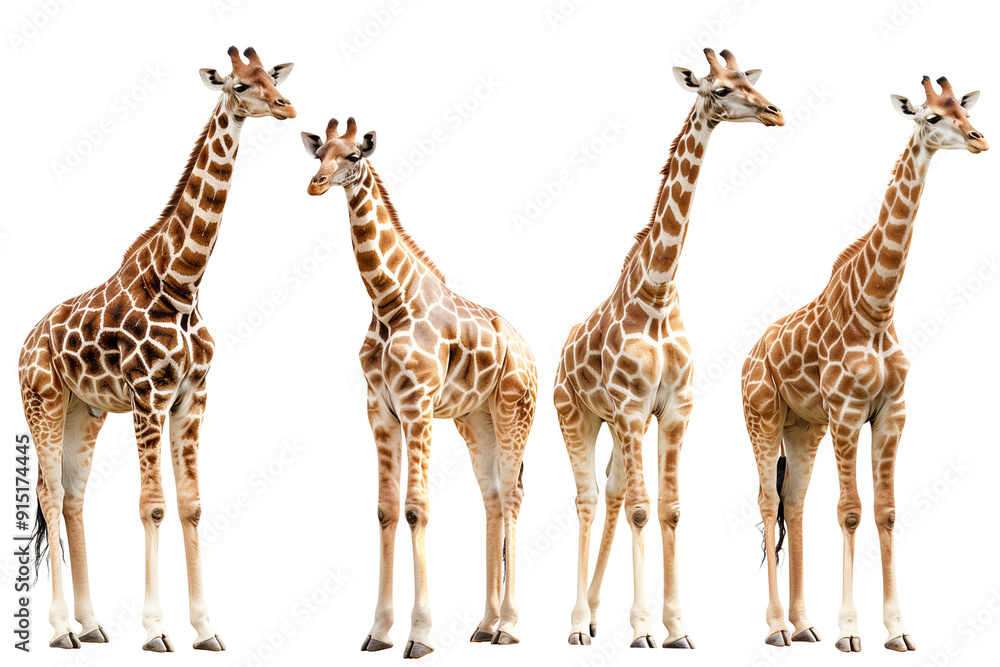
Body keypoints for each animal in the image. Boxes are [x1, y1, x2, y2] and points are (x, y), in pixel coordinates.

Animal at [19, 46, 295, 652]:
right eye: (240, 85)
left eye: (272, 77)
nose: (287, 107)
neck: (181, 283)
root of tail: (25, 343)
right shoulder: (149, 396)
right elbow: (153, 507)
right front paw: (155, 630)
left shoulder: (192, 396)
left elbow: (191, 505)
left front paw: (207, 629)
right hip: (42, 403)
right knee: (48, 492)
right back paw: (60, 629)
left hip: (85, 410)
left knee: (72, 497)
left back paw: (92, 625)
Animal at [301, 117, 537, 659]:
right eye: (319, 152)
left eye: (353, 157)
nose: (315, 185)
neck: (390, 302)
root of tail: (531, 352)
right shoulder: (380, 411)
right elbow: (386, 511)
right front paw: (378, 631)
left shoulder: (418, 407)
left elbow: (415, 510)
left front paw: (421, 634)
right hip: (476, 420)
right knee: (493, 498)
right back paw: (485, 625)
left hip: (514, 412)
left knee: (513, 496)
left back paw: (510, 626)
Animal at [554, 48, 784, 649]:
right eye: (719, 90)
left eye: (747, 80)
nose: (774, 112)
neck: (657, 293)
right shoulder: (634, 409)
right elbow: (641, 510)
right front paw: (641, 630)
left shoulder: (674, 408)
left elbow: (670, 509)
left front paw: (676, 628)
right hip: (576, 415)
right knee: (588, 499)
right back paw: (578, 624)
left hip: (612, 423)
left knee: (611, 492)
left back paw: (594, 612)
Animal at [742, 76, 987, 652]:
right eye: (931, 117)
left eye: (962, 110)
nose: (980, 139)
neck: (877, 308)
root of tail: (750, 355)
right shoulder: (848, 412)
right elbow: (851, 511)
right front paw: (851, 632)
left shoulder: (891, 412)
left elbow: (887, 512)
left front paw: (898, 630)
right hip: (762, 417)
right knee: (766, 500)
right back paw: (777, 628)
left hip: (803, 427)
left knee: (794, 502)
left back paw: (804, 624)